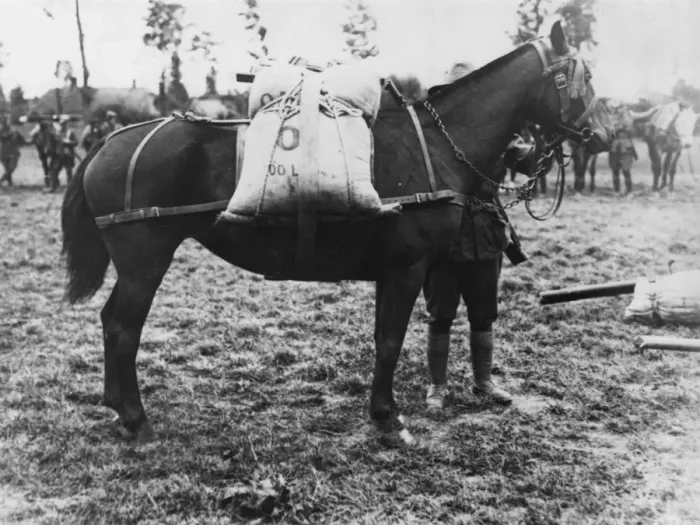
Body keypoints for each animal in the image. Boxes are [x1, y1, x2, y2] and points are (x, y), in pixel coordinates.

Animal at [61, 21, 612, 445]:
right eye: (580, 76)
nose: (605, 135)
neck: (436, 146)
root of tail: (108, 141)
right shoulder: (406, 267)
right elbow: (390, 339)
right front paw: (387, 418)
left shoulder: (399, 270)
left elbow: (387, 337)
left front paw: (384, 409)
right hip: (145, 261)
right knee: (122, 327)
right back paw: (136, 420)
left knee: (111, 322)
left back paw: (117, 405)